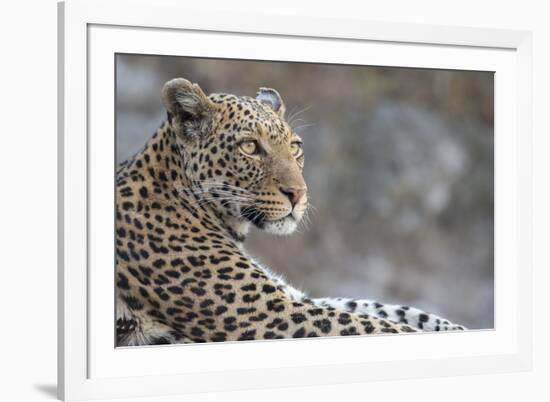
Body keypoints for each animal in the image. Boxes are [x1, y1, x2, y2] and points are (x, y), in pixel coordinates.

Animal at [115, 77, 466, 346]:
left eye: (295, 147)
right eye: (249, 147)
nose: (298, 193)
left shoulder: (290, 297)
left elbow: (382, 308)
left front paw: (455, 328)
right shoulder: (271, 313)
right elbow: (372, 323)